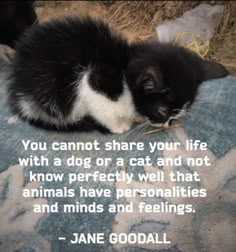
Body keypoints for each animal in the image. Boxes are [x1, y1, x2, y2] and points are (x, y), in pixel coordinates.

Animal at [8, 16, 230, 133]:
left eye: (175, 115)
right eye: (162, 112)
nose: (165, 125)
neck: (124, 69)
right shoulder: (93, 80)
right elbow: (101, 107)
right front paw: (120, 126)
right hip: (49, 96)